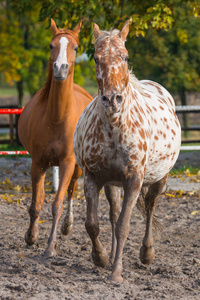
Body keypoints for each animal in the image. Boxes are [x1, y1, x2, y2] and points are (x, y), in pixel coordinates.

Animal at [18, 19, 92, 258]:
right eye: (51, 45)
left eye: (76, 48)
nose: (60, 68)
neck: (57, 118)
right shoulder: (38, 163)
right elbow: (36, 203)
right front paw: (31, 237)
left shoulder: (68, 163)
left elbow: (57, 203)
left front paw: (50, 247)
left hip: (78, 166)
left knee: (71, 190)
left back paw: (67, 226)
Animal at [73, 20, 181, 282]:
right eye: (96, 58)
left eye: (125, 56)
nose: (112, 99)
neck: (115, 128)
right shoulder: (92, 177)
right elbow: (93, 224)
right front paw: (101, 258)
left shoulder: (134, 180)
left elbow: (124, 225)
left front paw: (116, 273)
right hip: (112, 183)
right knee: (113, 213)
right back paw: (112, 255)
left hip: (160, 178)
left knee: (150, 206)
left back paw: (147, 253)